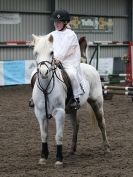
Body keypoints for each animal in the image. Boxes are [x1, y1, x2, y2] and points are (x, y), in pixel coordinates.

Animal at [31, 34, 110, 167]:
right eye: (35, 53)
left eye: (51, 52)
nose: (43, 72)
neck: (46, 87)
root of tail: (89, 66)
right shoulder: (40, 114)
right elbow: (44, 135)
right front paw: (43, 157)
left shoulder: (59, 112)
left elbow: (58, 136)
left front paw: (59, 159)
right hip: (71, 110)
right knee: (76, 125)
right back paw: (72, 149)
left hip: (97, 103)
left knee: (102, 123)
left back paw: (106, 148)